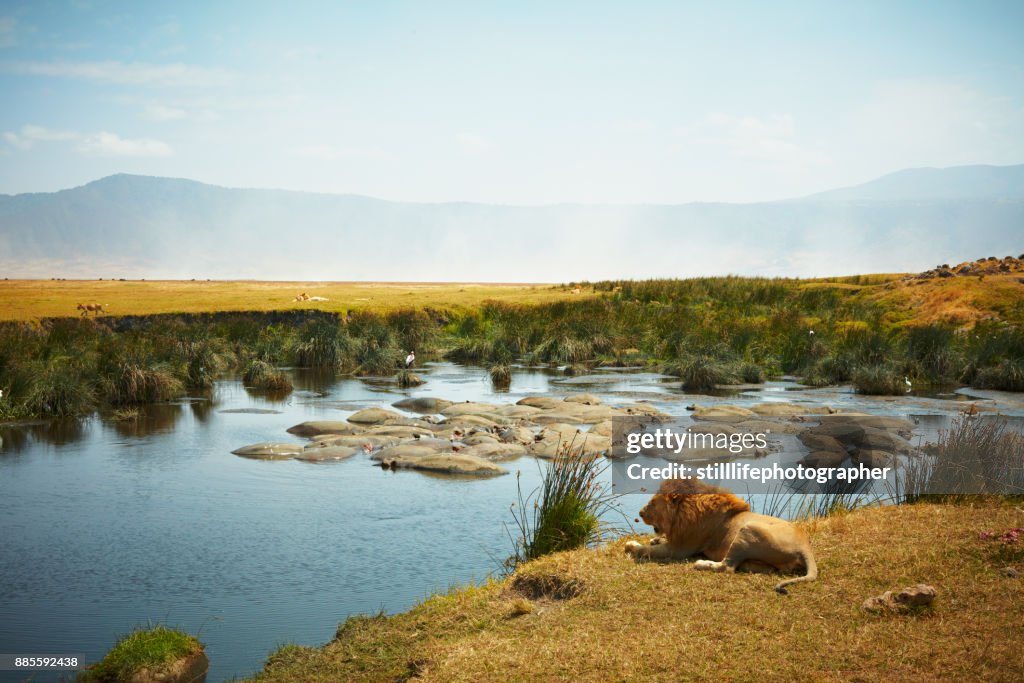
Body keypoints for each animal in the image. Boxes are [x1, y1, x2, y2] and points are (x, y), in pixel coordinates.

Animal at [618, 481, 819, 593]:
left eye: (652, 503)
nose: (640, 513)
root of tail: (805, 546)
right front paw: (655, 539)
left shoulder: (680, 549)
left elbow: (648, 550)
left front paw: (632, 545)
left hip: (747, 530)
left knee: (727, 567)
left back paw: (701, 563)